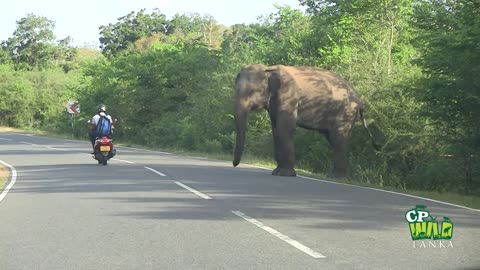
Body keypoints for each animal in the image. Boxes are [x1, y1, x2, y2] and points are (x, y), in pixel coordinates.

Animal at [232, 64, 378, 178]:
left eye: (252, 91)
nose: (234, 165)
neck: (268, 69)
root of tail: (360, 100)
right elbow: (276, 129)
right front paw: (276, 172)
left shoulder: (289, 97)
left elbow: (285, 128)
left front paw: (284, 174)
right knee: (334, 140)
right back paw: (335, 176)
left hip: (346, 111)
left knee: (338, 138)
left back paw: (338, 177)